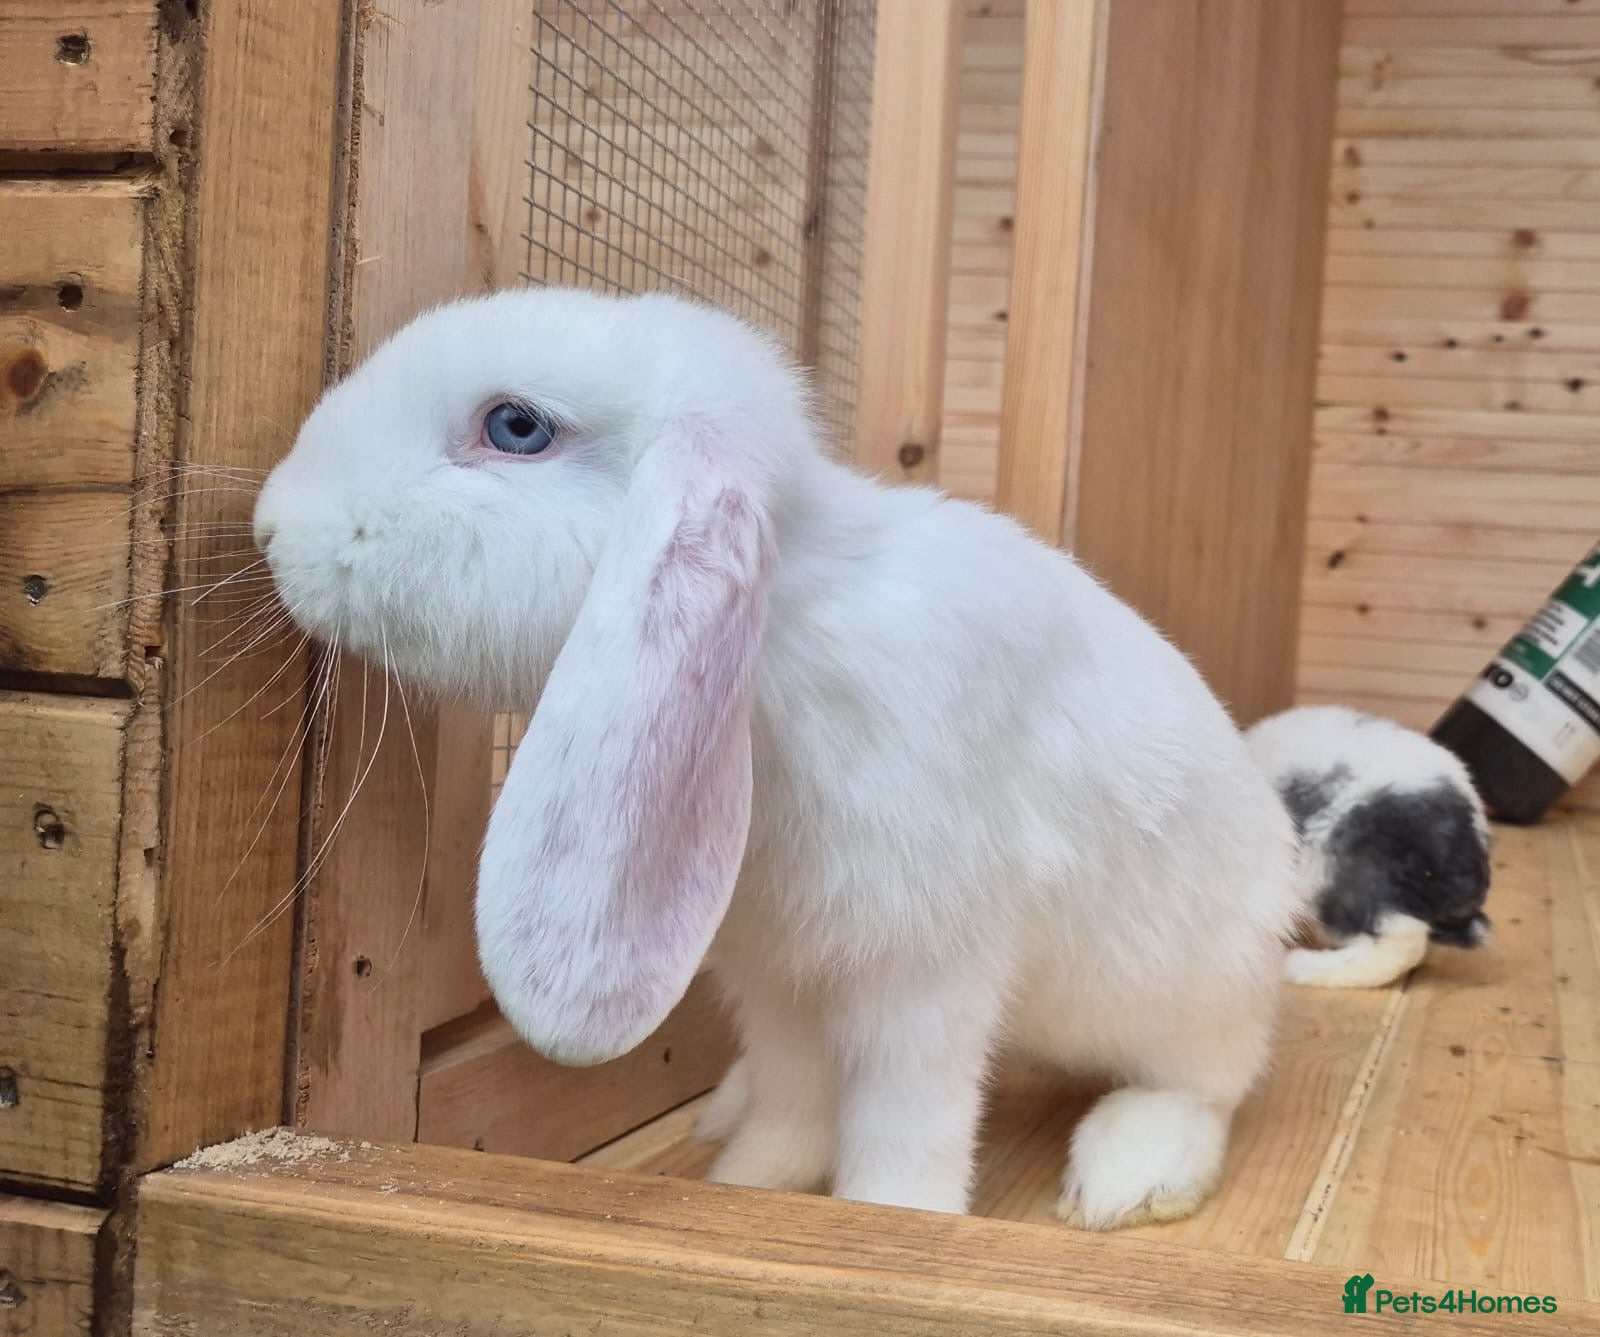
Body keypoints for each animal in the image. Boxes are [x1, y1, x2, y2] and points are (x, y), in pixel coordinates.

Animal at [253, 287, 1301, 1229]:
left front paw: (895, 1216)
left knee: (1209, 1081)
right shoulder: (775, 968)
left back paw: (1129, 1176)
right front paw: (752, 1183)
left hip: (1186, 997)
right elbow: (799, 1096)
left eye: (515, 426)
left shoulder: (925, 964)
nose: (269, 525)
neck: (776, 640)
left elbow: (906, 1111)